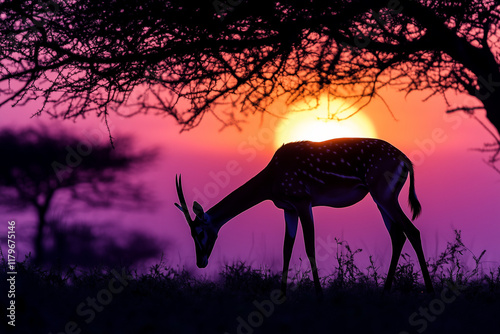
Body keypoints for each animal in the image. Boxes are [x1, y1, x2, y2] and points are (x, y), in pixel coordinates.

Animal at [176, 137, 434, 296]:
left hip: (384, 194)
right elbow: (286, 248)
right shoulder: (288, 208)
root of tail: (406, 161)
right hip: (380, 199)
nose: (201, 262)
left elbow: (309, 246)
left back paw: (429, 289)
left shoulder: (303, 200)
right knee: (398, 235)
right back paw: (385, 291)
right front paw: (281, 295)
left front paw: (319, 294)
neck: (271, 181)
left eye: (199, 232)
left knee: (412, 231)